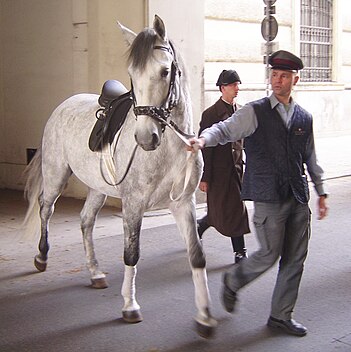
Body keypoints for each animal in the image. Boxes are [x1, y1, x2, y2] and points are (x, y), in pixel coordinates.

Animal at [23, 15, 217, 336]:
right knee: (45, 209)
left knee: (86, 221)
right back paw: (41, 256)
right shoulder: (134, 204)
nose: (146, 137)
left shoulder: (183, 203)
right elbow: (131, 254)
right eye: (131, 74)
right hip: (55, 175)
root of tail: (64, 104)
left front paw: (205, 316)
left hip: (98, 188)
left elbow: (197, 255)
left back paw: (95, 272)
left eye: (165, 71)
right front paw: (129, 306)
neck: (170, 150)